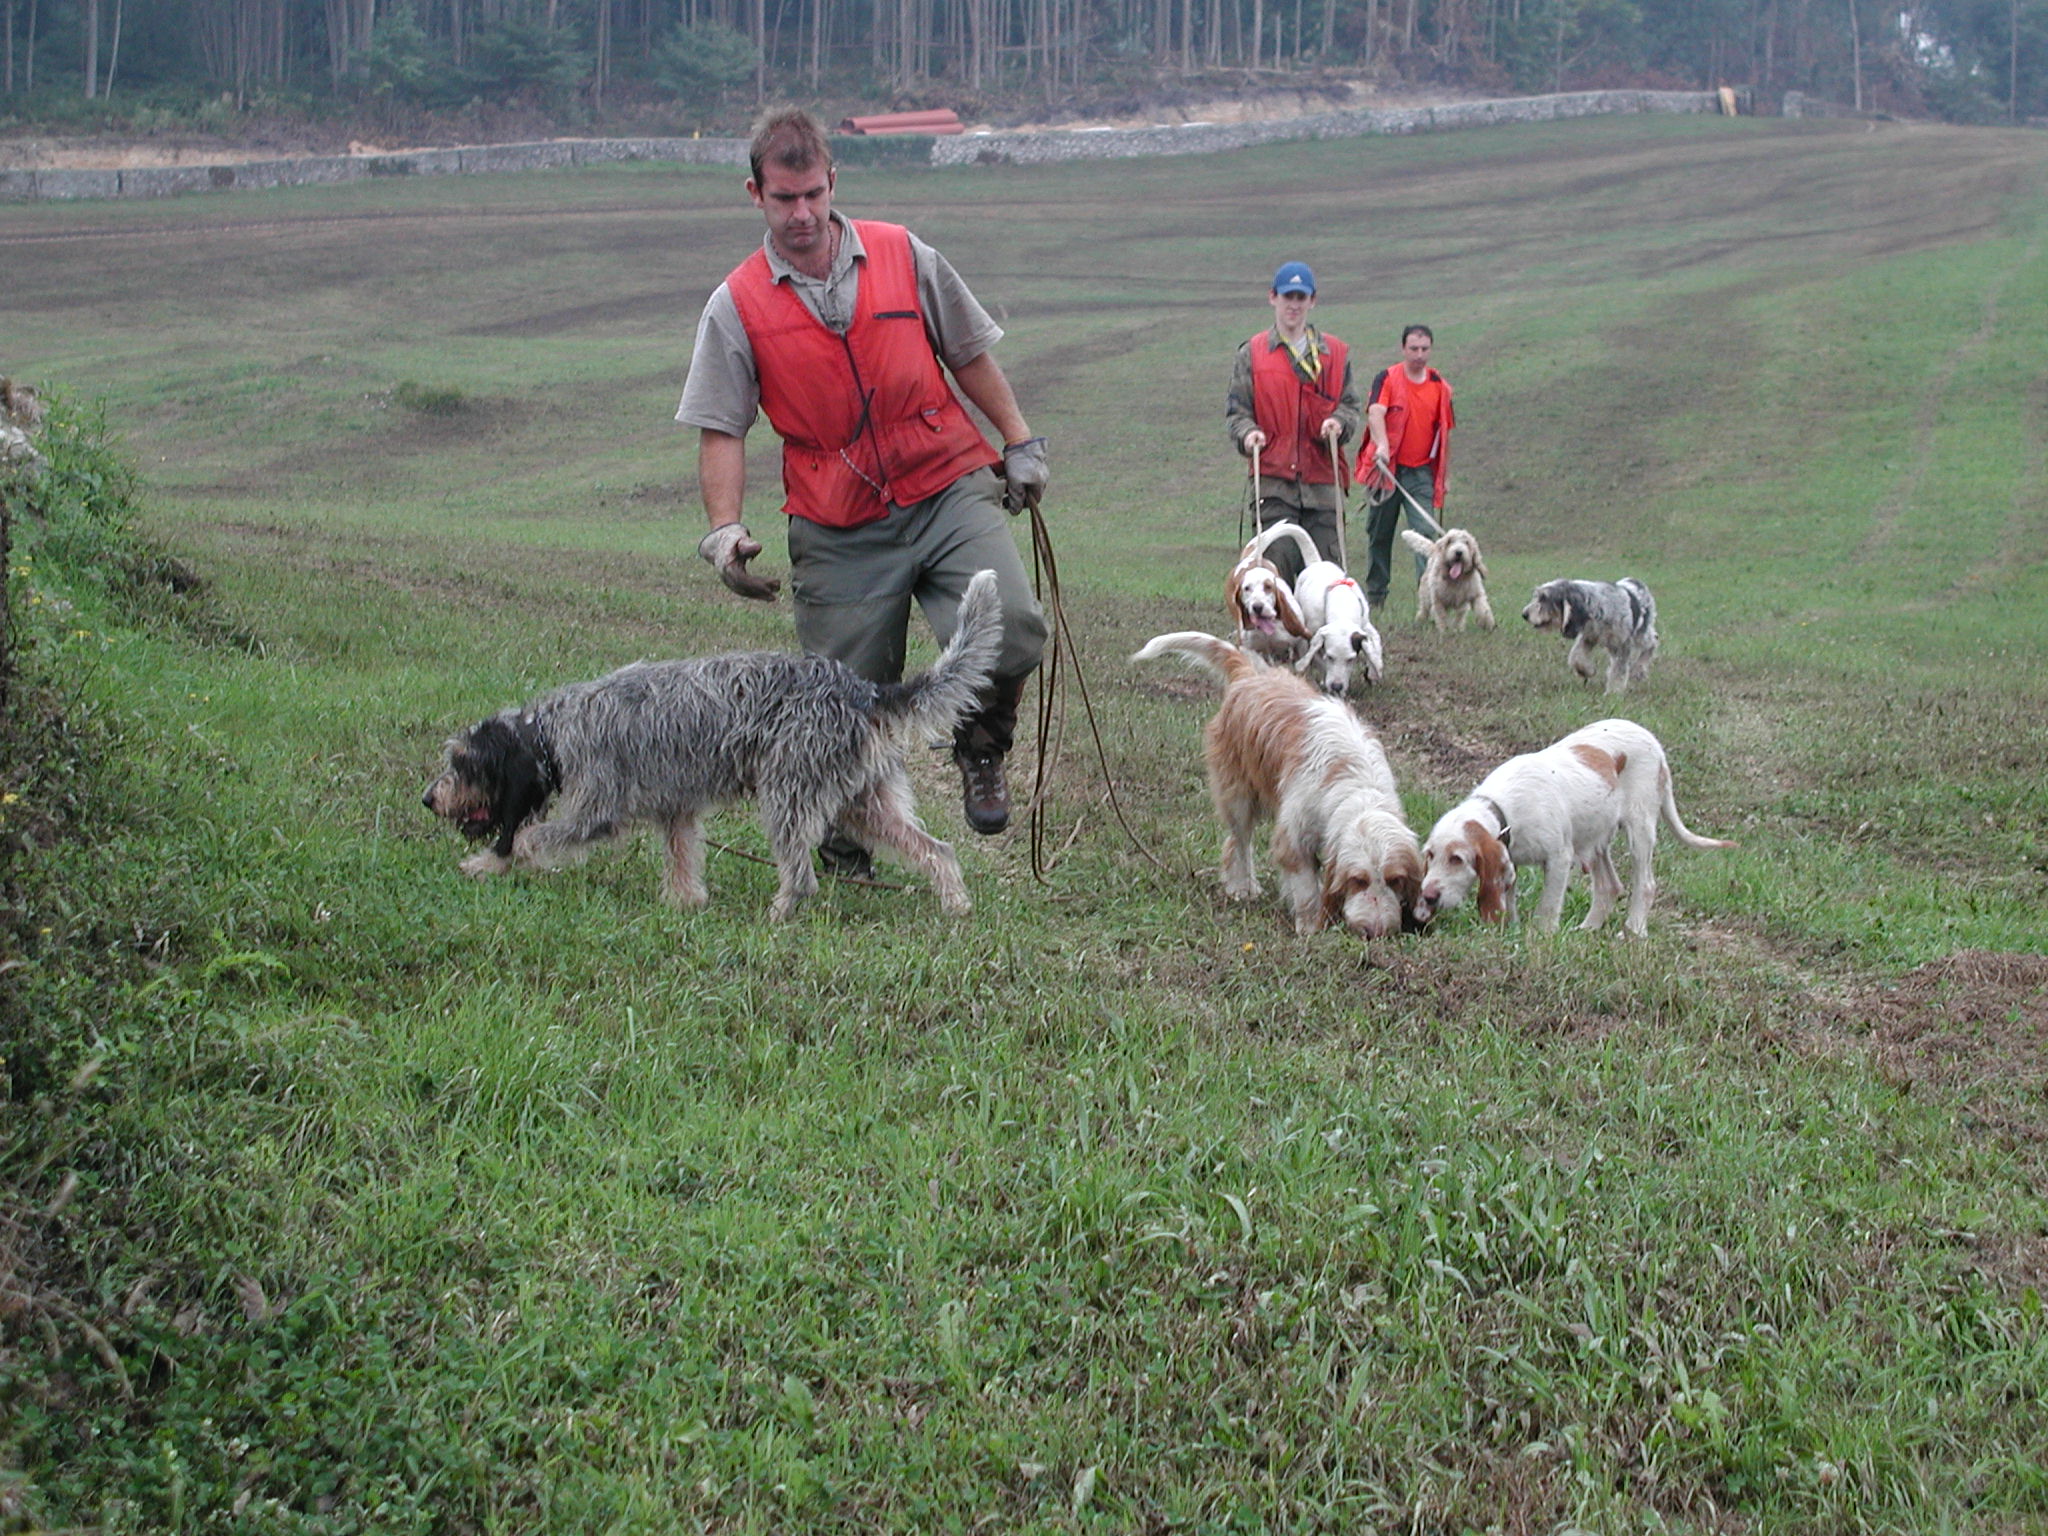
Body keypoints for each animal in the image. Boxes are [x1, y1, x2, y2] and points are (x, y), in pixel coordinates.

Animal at [428, 573, 1003, 921]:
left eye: (463, 763)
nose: (429, 798)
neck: (553, 731)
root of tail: (864, 690)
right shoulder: (676, 809)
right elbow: (682, 860)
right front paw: (684, 905)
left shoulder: (599, 811)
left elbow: (528, 838)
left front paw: (493, 862)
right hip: (863, 804)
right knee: (937, 850)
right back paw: (956, 905)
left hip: (788, 794)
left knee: (802, 876)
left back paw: (778, 914)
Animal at [1138, 630, 1425, 946]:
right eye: (1357, 880)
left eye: (1396, 880)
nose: (1374, 932)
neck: (1357, 787)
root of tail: (1250, 674)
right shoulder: (1294, 838)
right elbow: (1306, 887)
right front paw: (1311, 925)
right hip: (1238, 798)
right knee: (1239, 843)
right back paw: (1242, 888)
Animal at [1286, 561, 1384, 696]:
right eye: (1330, 657)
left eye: (1351, 659)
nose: (1337, 687)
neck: (1342, 602)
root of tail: (1318, 562)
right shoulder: (1311, 636)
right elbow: (1317, 660)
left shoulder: (1365, 626)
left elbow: (1375, 647)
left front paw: (1373, 672)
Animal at [1417, 720, 1736, 937]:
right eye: (1430, 855)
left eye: (1457, 859)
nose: (1428, 896)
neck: (1504, 807)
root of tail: (1653, 741)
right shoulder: (1510, 859)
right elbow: (1508, 899)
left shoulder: (1559, 859)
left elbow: (1547, 909)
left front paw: (1540, 939)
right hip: (1595, 838)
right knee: (1609, 886)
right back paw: (1588, 928)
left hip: (1640, 829)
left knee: (1645, 884)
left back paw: (1633, 931)